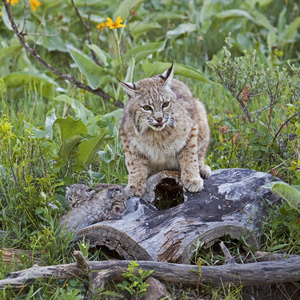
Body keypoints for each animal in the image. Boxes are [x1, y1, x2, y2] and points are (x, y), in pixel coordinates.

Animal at [119, 63, 211, 197]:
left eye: (165, 104)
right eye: (147, 107)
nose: (159, 119)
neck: (156, 133)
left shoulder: (192, 128)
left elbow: (190, 156)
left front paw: (192, 178)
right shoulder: (127, 139)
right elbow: (134, 163)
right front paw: (135, 184)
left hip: (201, 112)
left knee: (200, 152)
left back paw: (202, 168)